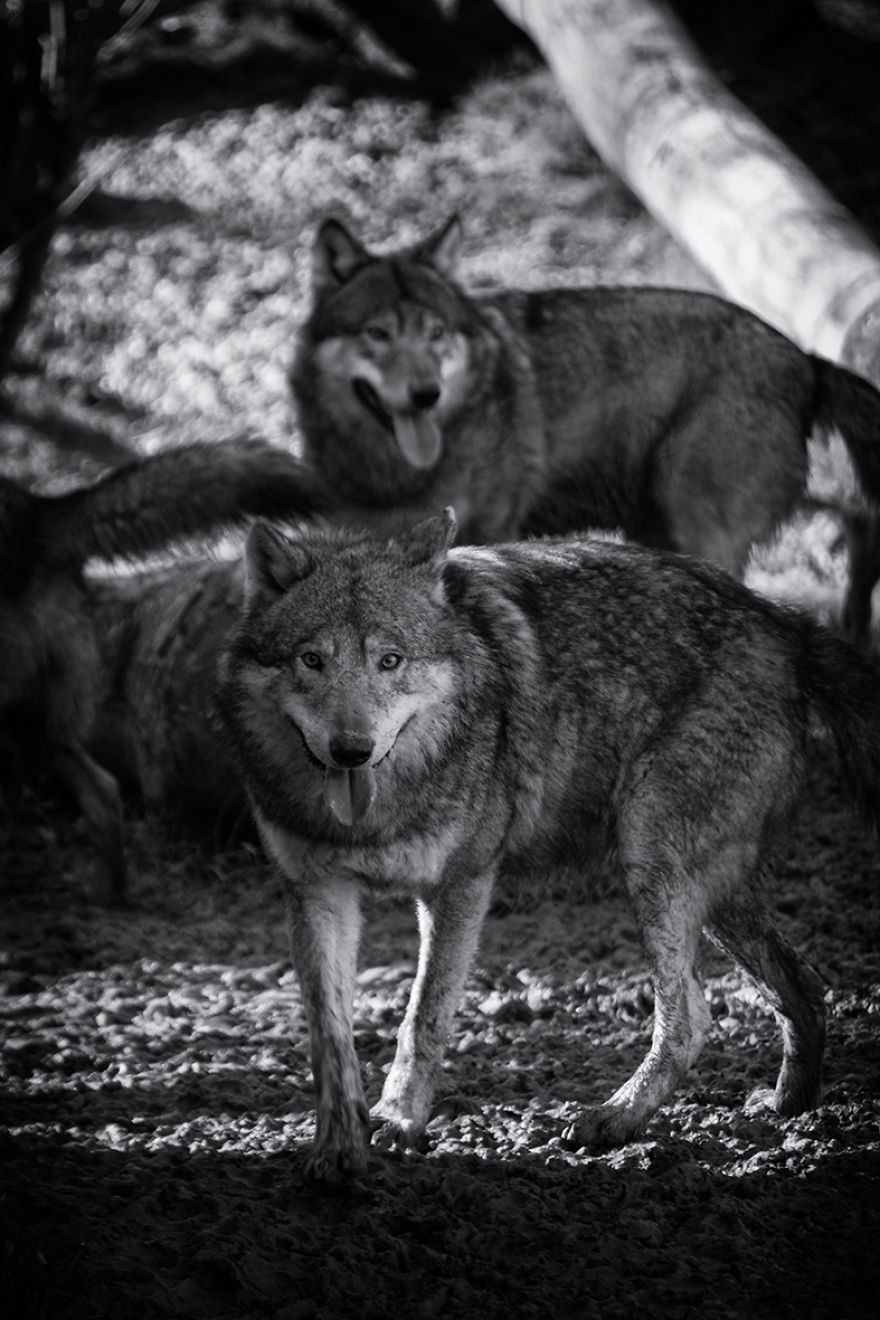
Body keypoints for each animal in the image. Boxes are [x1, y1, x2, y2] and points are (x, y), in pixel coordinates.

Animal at [216, 509, 880, 1184]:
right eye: (311, 660)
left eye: (389, 660)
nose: (351, 750)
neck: (376, 816)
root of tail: (784, 619)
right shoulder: (317, 892)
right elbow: (329, 1036)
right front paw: (337, 1147)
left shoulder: (461, 885)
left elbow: (423, 1016)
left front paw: (399, 1119)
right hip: (712, 894)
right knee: (804, 987)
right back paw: (791, 1112)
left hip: (653, 859)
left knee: (692, 1017)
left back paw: (615, 1120)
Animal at [291, 215, 880, 641]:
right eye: (378, 334)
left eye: (436, 334)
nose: (425, 394)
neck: (392, 472)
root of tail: (804, 360)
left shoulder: (484, 535)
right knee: (857, 522)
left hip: (702, 527)